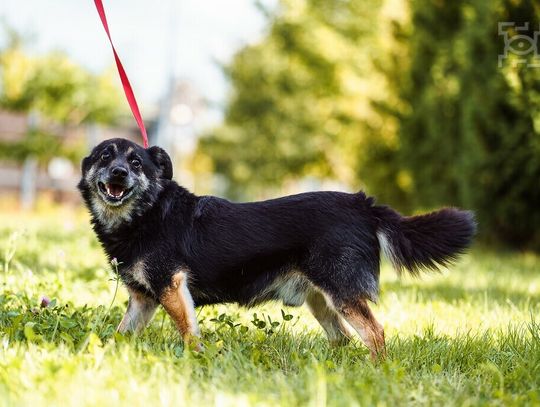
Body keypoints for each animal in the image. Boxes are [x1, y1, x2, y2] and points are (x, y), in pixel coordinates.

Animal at [78, 139, 474, 358]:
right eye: (104, 157)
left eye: (135, 163)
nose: (118, 173)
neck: (146, 214)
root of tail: (363, 204)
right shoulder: (143, 300)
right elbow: (120, 334)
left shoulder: (172, 287)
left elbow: (189, 334)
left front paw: (195, 361)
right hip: (322, 300)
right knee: (343, 338)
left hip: (342, 292)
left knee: (375, 335)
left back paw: (377, 373)